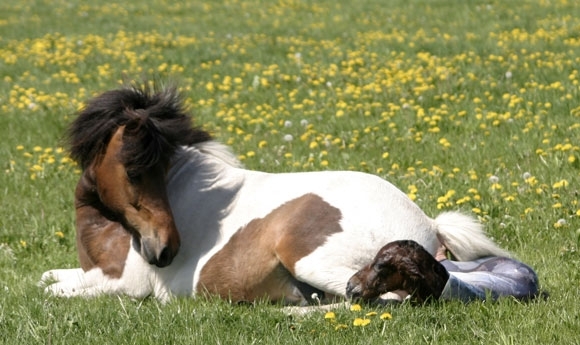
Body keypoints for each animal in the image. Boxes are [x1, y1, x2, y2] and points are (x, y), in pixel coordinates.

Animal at [39, 83, 508, 304]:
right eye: (136, 172)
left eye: (154, 170)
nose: (164, 251)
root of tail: (428, 225)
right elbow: (47, 278)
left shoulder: (124, 287)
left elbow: (49, 291)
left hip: (318, 262)